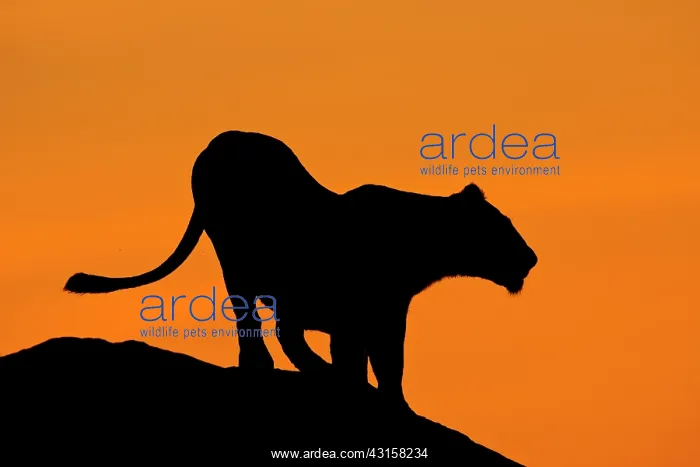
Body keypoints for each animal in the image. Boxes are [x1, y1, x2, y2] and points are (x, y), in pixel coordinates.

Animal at [64, 130, 538, 410]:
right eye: (502, 228)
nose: (532, 258)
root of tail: (220, 141)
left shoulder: (380, 316)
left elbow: (385, 365)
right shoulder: (362, 316)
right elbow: (374, 362)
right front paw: (366, 393)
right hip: (235, 256)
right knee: (257, 321)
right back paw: (267, 365)